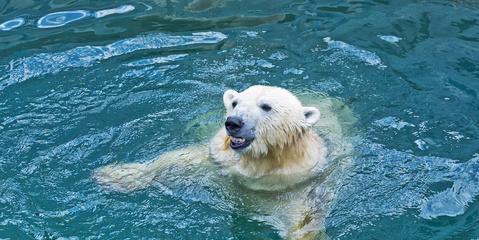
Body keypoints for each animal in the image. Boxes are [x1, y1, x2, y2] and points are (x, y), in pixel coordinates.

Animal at [94, 85, 356, 239]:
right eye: (235, 103)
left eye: (266, 106)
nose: (233, 122)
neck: (261, 162)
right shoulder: (219, 161)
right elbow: (177, 160)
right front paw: (114, 175)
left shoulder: (297, 184)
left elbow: (303, 223)